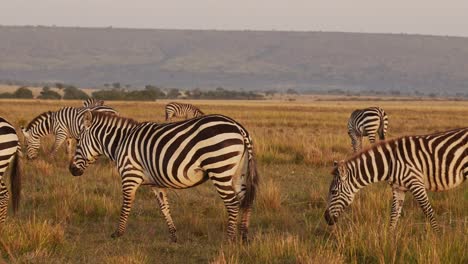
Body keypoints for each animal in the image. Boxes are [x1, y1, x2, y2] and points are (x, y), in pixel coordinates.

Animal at [69, 111, 260, 241]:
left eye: (77, 142)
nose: (71, 170)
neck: (120, 143)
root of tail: (239, 128)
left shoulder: (130, 176)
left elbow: (126, 205)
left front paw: (118, 233)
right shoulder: (156, 183)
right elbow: (164, 207)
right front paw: (173, 236)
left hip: (219, 168)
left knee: (232, 203)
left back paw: (229, 240)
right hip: (238, 173)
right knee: (246, 200)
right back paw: (244, 237)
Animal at [326, 128, 468, 233]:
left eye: (333, 192)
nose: (326, 218)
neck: (390, 162)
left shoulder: (416, 183)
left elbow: (428, 212)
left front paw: (437, 239)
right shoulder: (398, 188)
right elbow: (394, 214)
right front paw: (389, 242)